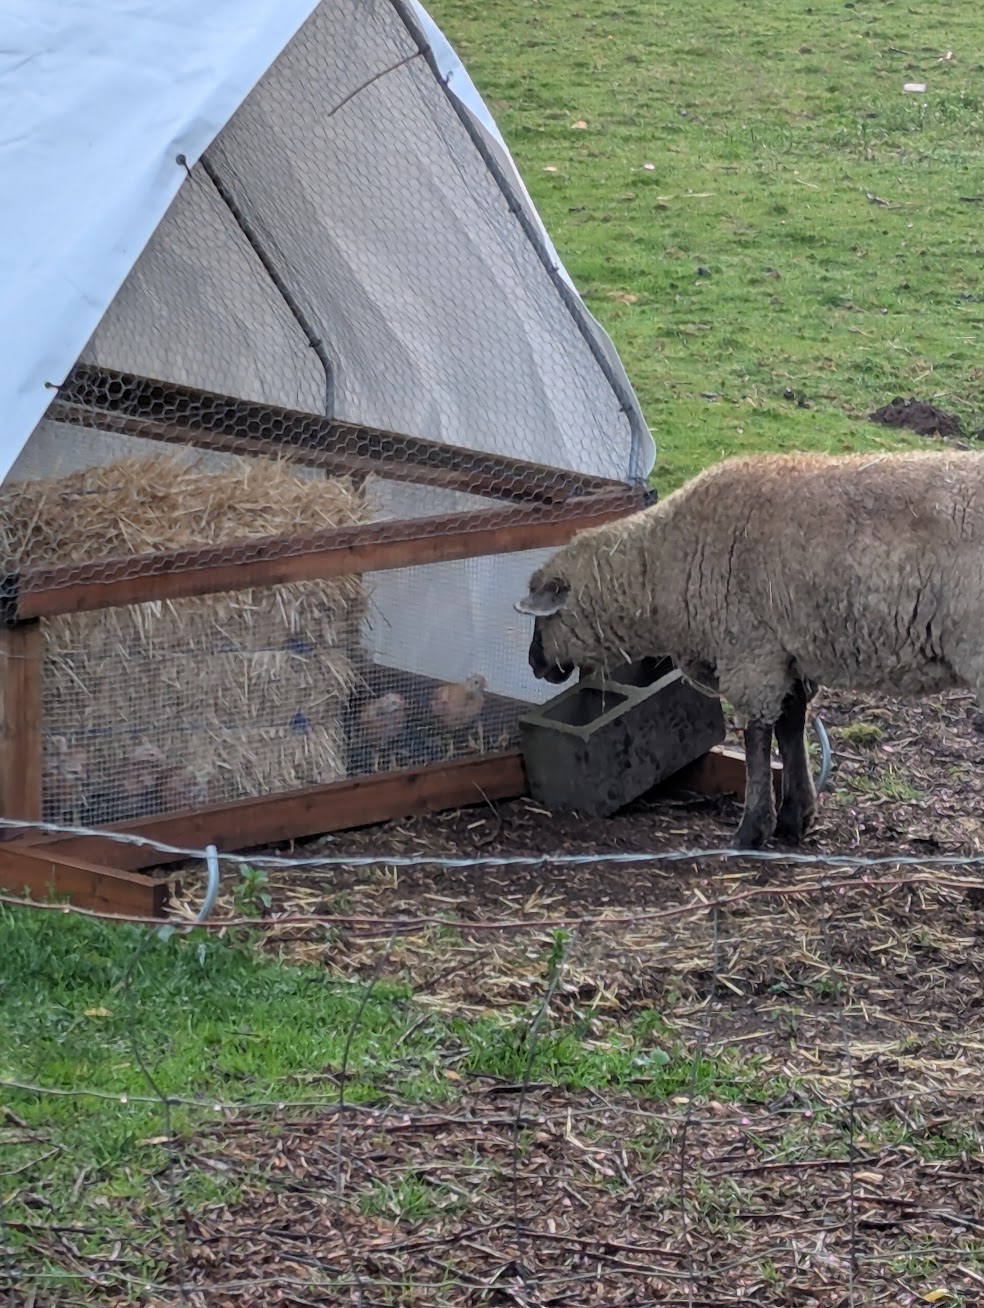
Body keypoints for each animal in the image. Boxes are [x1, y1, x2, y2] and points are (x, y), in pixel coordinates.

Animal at [510, 449, 984, 852]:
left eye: (542, 618)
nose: (533, 664)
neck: (662, 568)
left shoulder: (749, 649)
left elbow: (756, 736)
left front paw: (753, 828)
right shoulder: (784, 651)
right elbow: (791, 723)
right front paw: (796, 816)